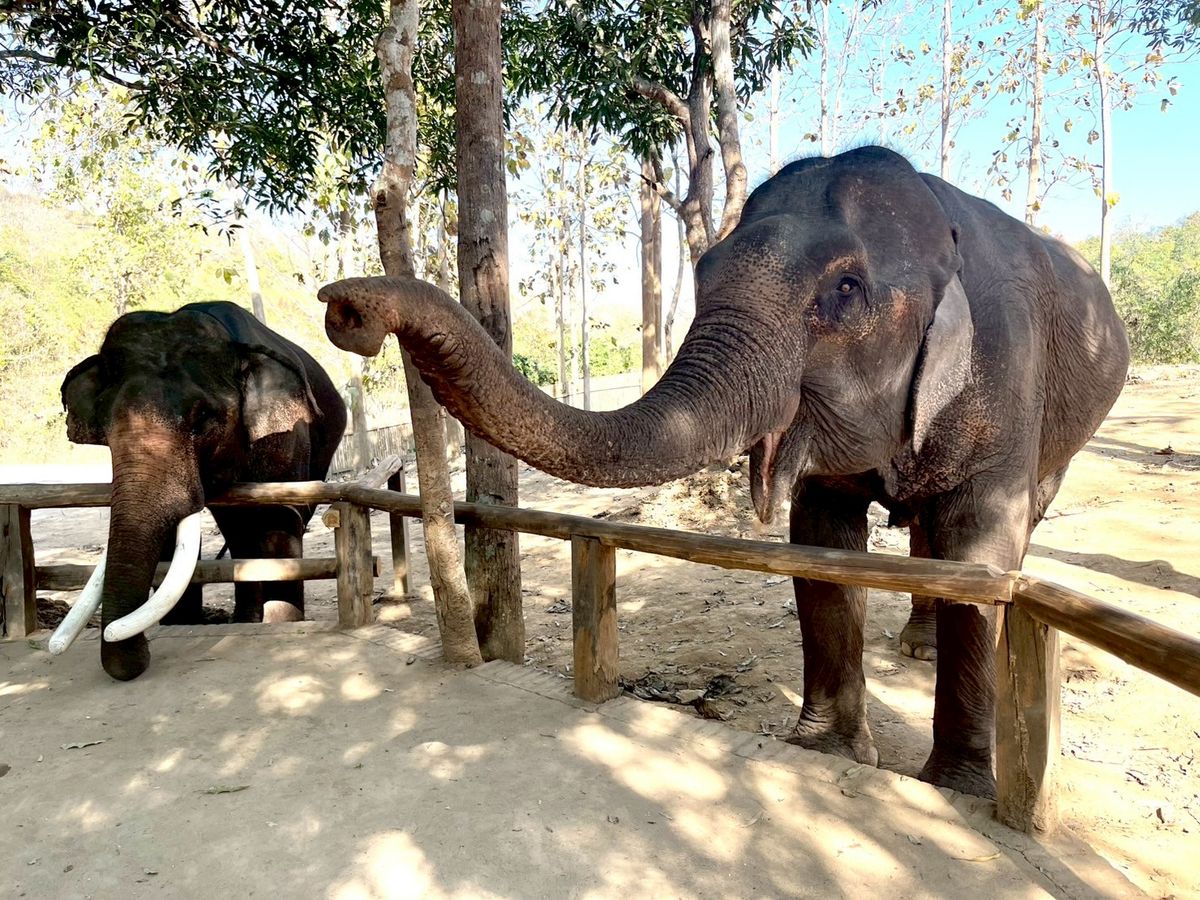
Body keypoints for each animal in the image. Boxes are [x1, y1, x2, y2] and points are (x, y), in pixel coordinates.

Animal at [56, 301, 347, 682]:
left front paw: (282, 623)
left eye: (203, 418)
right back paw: (244, 620)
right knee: (237, 532)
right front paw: (181, 625)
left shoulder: (285, 436)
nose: (135, 655)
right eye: (104, 426)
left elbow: (279, 518)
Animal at [319, 146, 1128, 798]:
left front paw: (956, 788)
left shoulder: (1007, 373)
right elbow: (820, 540)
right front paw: (828, 751)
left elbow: (982, 548)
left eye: (845, 290)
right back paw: (917, 645)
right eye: (703, 270)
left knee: (1010, 528)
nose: (342, 305)